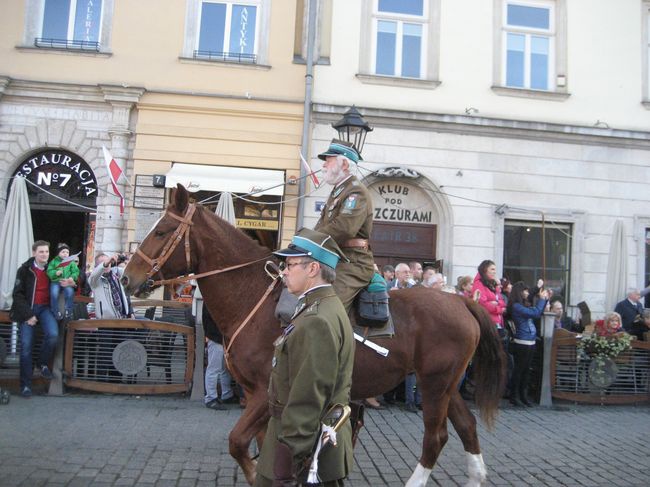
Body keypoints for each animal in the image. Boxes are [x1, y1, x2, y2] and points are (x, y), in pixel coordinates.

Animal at [123, 186, 506, 487]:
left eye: (163, 231)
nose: (127, 277)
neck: (255, 297)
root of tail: (459, 301)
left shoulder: (264, 391)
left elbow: (238, 442)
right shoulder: (260, 397)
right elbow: (262, 446)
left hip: (435, 385)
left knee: (435, 437)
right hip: (446, 385)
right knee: (466, 427)